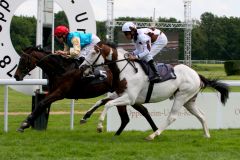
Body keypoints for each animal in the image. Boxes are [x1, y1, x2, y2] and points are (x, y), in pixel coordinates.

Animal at [14, 45, 158, 134]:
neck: (61, 69)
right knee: (139, 112)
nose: (16, 76)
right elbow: (42, 103)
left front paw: (24, 124)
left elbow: (42, 103)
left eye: (23, 59)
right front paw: (27, 123)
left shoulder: (60, 93)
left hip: (125, 95)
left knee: (129, 117)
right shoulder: (53, 91)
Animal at [83, 42, 230, 140]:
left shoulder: (130, 98)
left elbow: (108, 104)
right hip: (189, 101)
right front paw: (85, 116)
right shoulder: (120, 93)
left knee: (172, 117)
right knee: (201, 115)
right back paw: (206, 134)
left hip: (181, 96)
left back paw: (153, 135)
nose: (82, 67)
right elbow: (101, 101)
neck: (126, 70)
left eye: (93, 53)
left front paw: (100, 126)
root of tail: (197, 75)